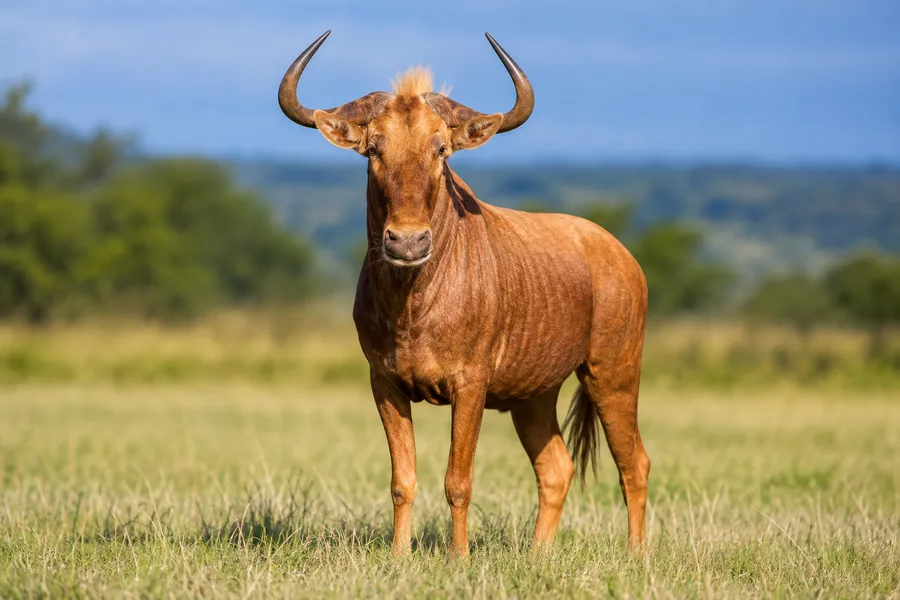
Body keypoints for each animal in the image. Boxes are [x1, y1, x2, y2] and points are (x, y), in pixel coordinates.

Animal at [278, 31, 650, 556]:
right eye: (373, 149)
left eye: (441, 149)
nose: (407, 242)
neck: (414, 304)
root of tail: (622, 256)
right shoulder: (384, 384)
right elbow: (402, 480)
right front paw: (400, 557)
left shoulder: (469, 385)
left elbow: (458, 480)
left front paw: (459, 559)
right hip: (534, 397)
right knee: (556, 467)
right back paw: (536, 557)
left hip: (612, 376)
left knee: (633, 463)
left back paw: (637, 556)